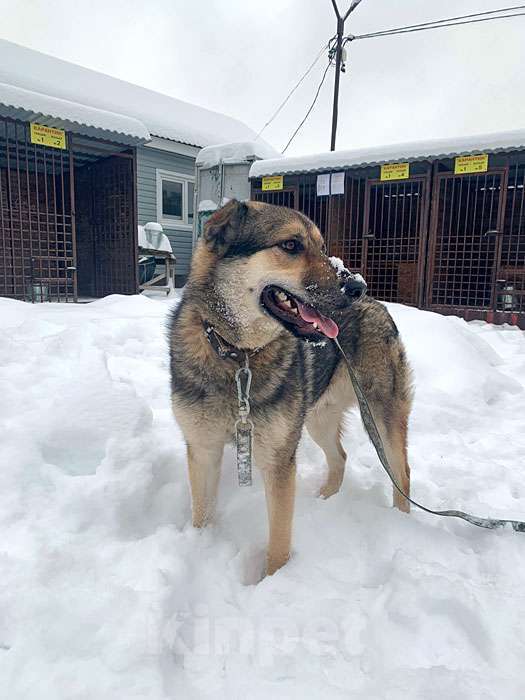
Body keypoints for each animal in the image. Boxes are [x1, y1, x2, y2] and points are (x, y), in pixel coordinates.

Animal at [170, 200, 412, 576]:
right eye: (290, 245)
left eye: (322, 248)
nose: (358, 286)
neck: (238, 356)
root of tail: (378, 305)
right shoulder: (203, 450)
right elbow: (202, 515)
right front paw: (199, 549)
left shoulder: (278, 461)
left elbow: (279, 542)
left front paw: (273, 580)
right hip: (316, 420)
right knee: (340, 457)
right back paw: (326, 499)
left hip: (381, 414)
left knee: (402, 472)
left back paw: (401, 523)